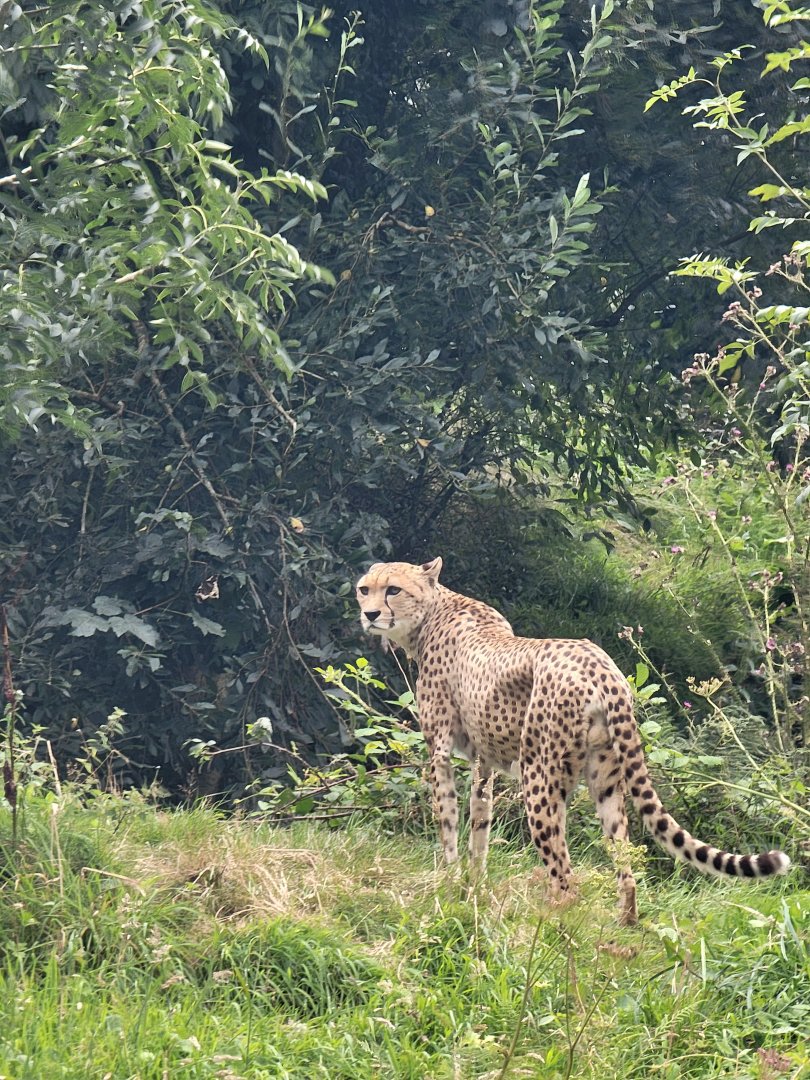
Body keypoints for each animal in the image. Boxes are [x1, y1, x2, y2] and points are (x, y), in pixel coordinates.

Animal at [355, 556, 790, 924]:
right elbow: (480, 822)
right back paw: (623, 927)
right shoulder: (484, 761)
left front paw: (449, 881)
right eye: (364, 589)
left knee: (565, 875)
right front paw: (474, 885)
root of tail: (599, 664)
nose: (370, 614)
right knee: (624, 867)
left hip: (539, 777)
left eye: (393, 589)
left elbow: (446, 820)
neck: (432, 613)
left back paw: (552, 924)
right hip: (607, 781)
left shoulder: (440, 752)